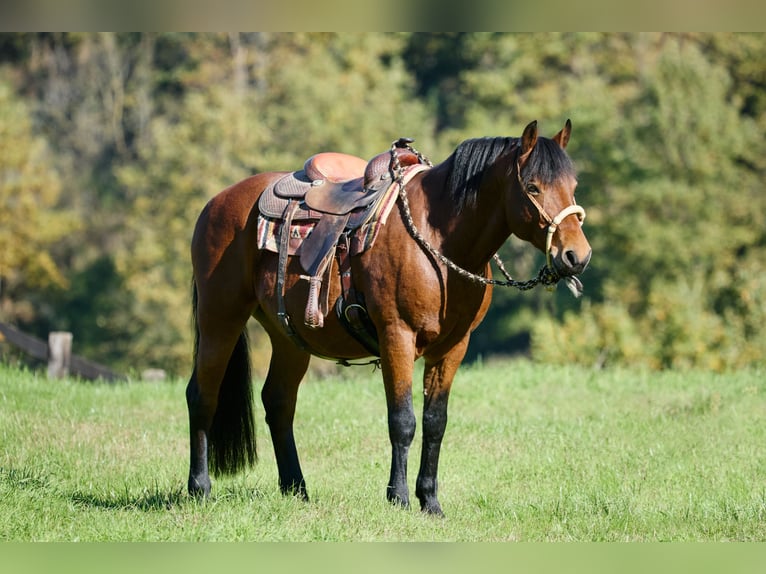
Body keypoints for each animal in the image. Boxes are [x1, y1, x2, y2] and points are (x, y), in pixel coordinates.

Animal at [186, 118, 592, 516]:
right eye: (533, 187)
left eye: (573, 186)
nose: (577, 255)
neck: (438, 238)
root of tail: (216, 203)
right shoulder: (397, 335)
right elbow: (403, 420)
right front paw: (398, 497)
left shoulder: (453, 347)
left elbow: (435, 422)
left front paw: (430, 501)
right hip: (220, 318)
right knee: (202, 394)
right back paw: (199, 488)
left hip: (289, 337)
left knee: (279, 401)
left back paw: (296, 489)